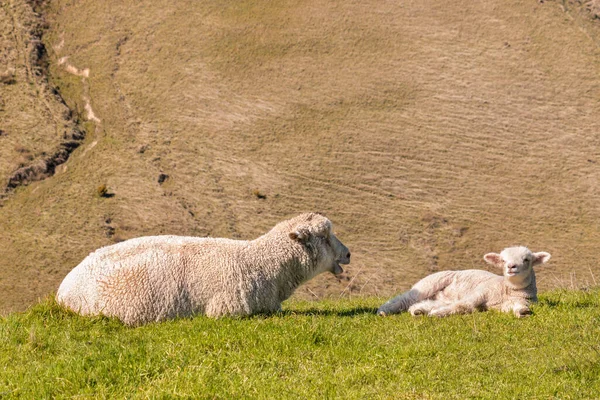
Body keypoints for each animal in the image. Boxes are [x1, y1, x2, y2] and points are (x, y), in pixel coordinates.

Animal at [378, 245, 552, 318]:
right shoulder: (481, 292)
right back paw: (383, 310)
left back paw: (418, 311)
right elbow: (464, 305)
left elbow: (516, 308)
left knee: (423, 303)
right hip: (429, 283)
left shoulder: (508, 304)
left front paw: (522, 312)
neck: (507, 290)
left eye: (526, 259)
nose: (511, 267)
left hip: (442, 296)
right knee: (405, 299)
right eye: (503, 260)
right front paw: (438, 314)